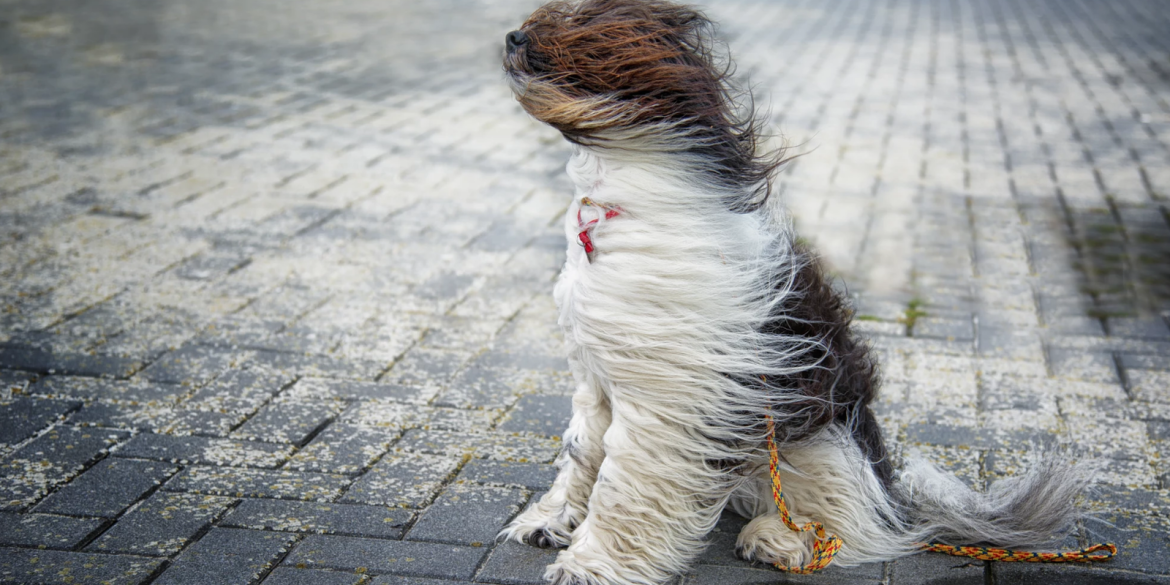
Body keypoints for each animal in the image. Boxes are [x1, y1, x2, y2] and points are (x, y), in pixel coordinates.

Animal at [498, 2, 1090, 582]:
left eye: (577, 29)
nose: (512, 37)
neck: (618, 202)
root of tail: (891, 491)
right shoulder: (596, 376)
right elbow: (581, 452)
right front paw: (550, 520)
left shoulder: (668, 399)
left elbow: (623, 482)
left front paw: (589, 564)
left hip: (820, 441)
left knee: (854, 522)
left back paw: (783, 540)